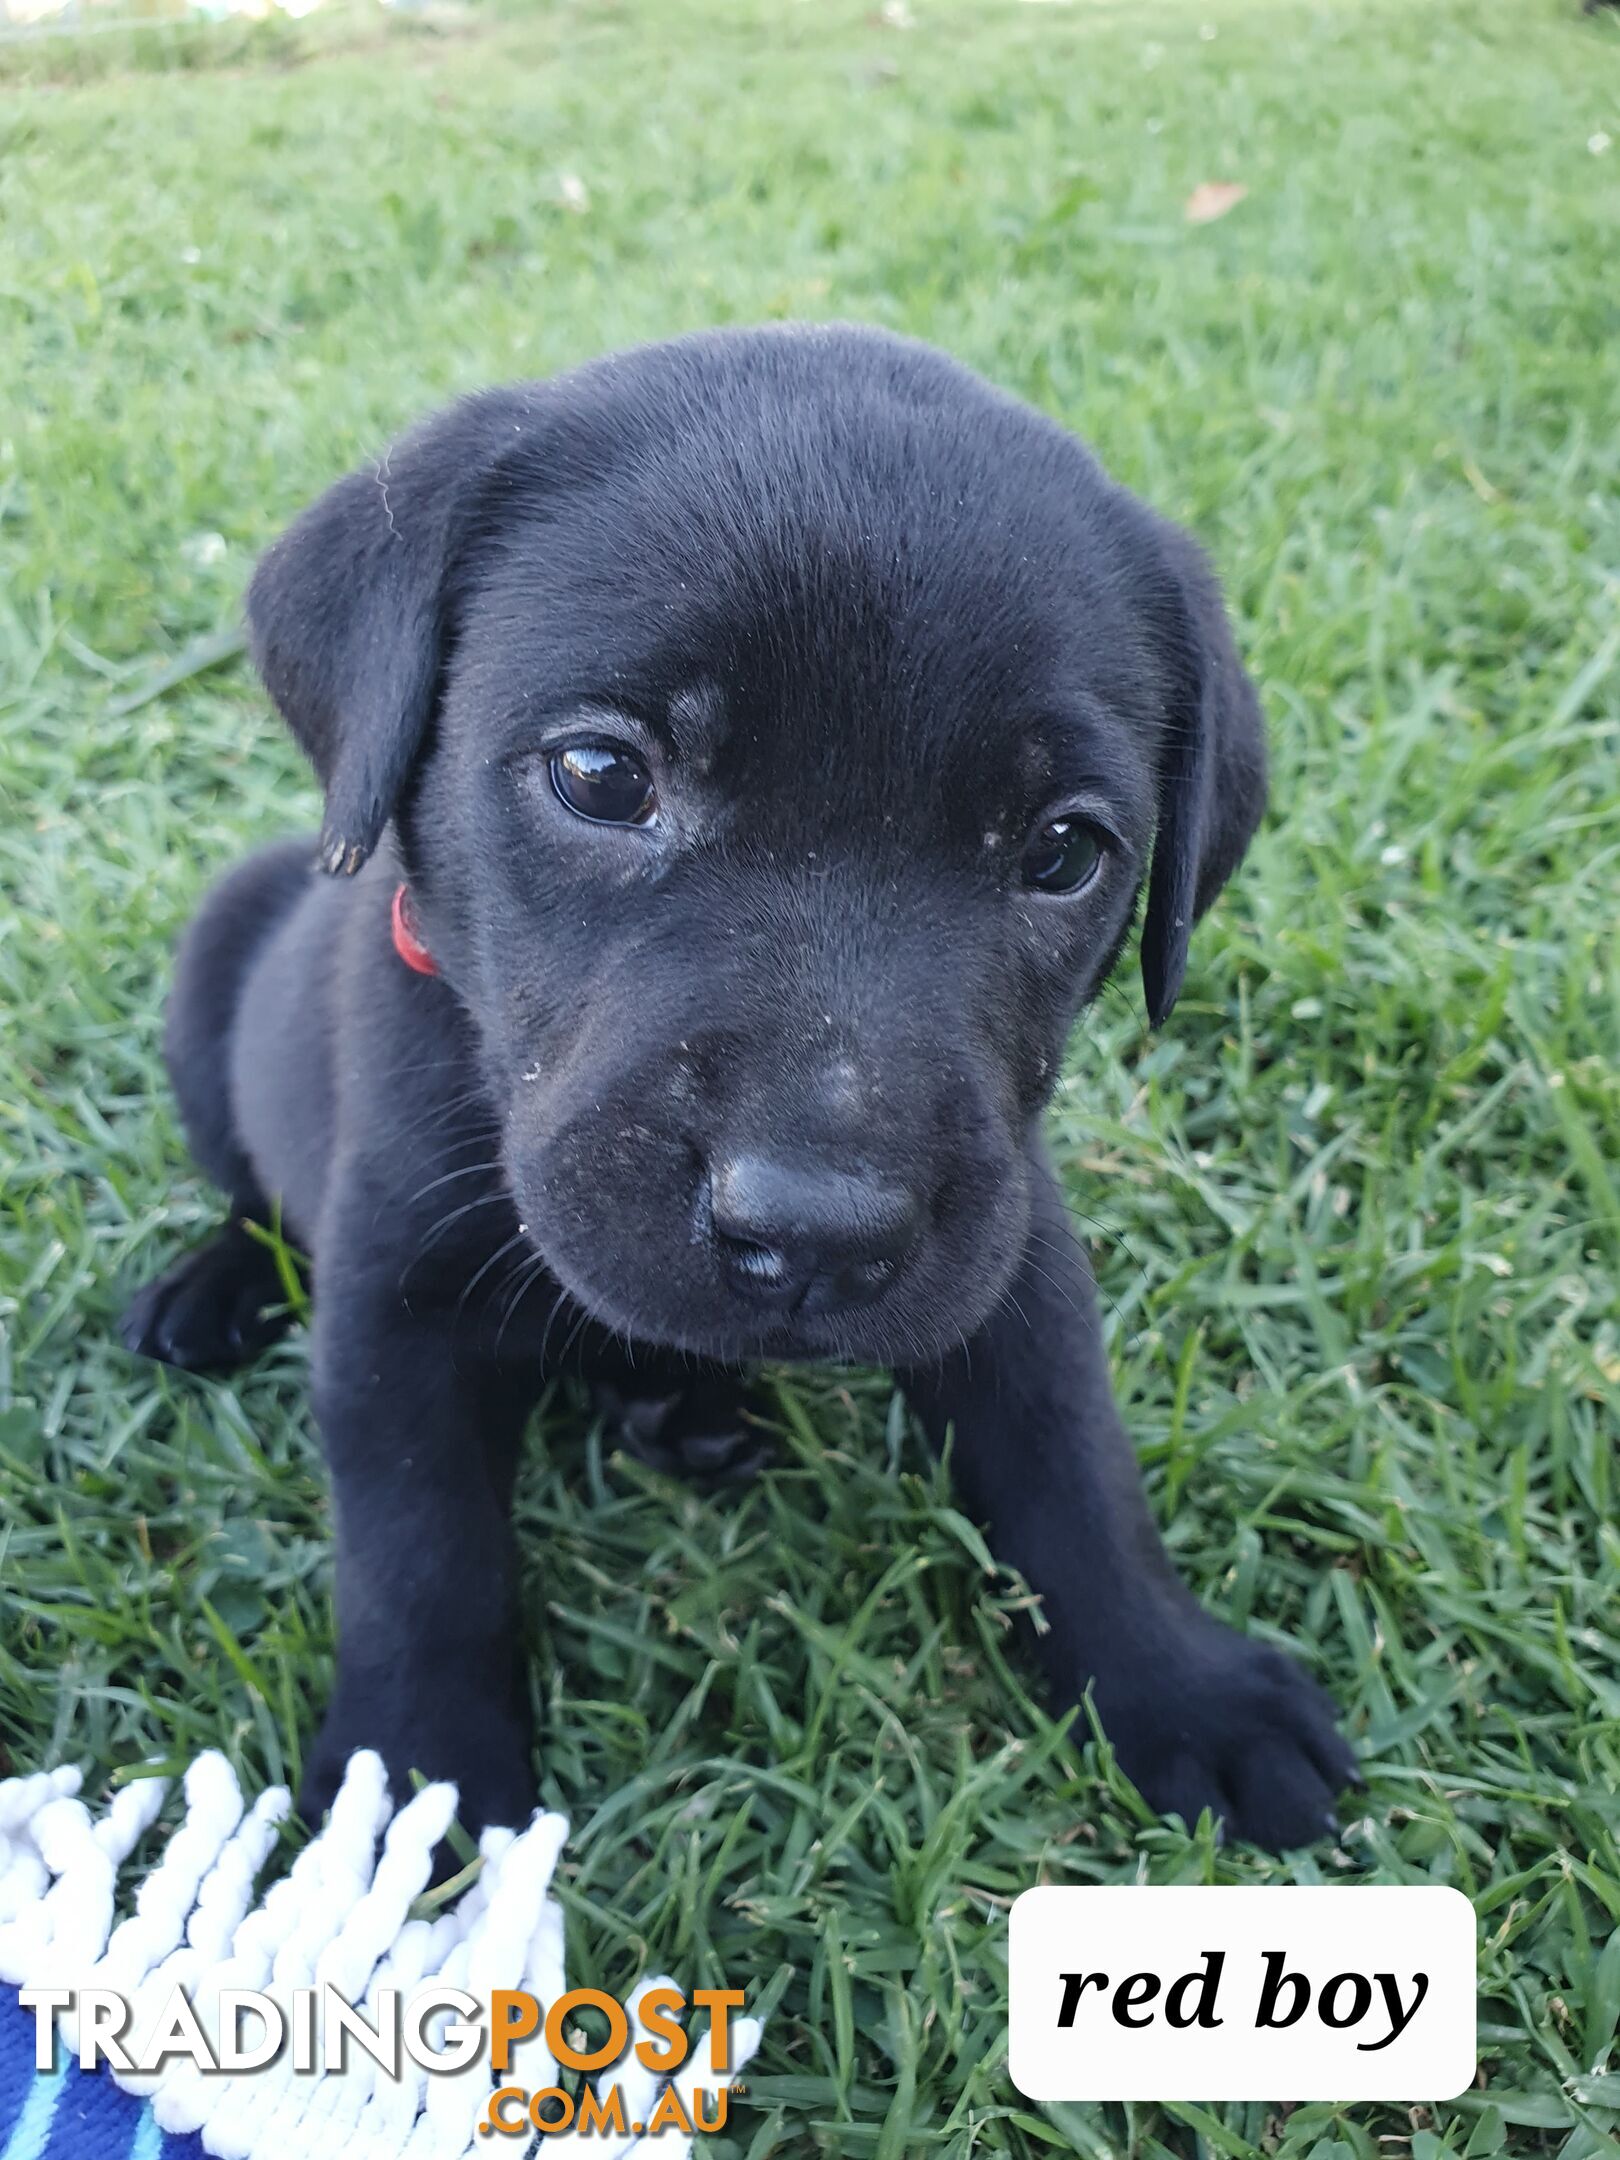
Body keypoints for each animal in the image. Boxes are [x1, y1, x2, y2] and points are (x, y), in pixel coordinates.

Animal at [123, 328, 1356, 1848]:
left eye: (1066, 852)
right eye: (601, 772)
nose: (820, 1233)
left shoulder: (1015, 1259)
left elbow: (1076, 1473)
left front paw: (1182, 1687)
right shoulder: (392, 1302)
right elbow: (420, 1551)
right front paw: (416, 1784)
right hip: (214, 967)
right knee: (245, 1192)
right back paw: (215, 1288)